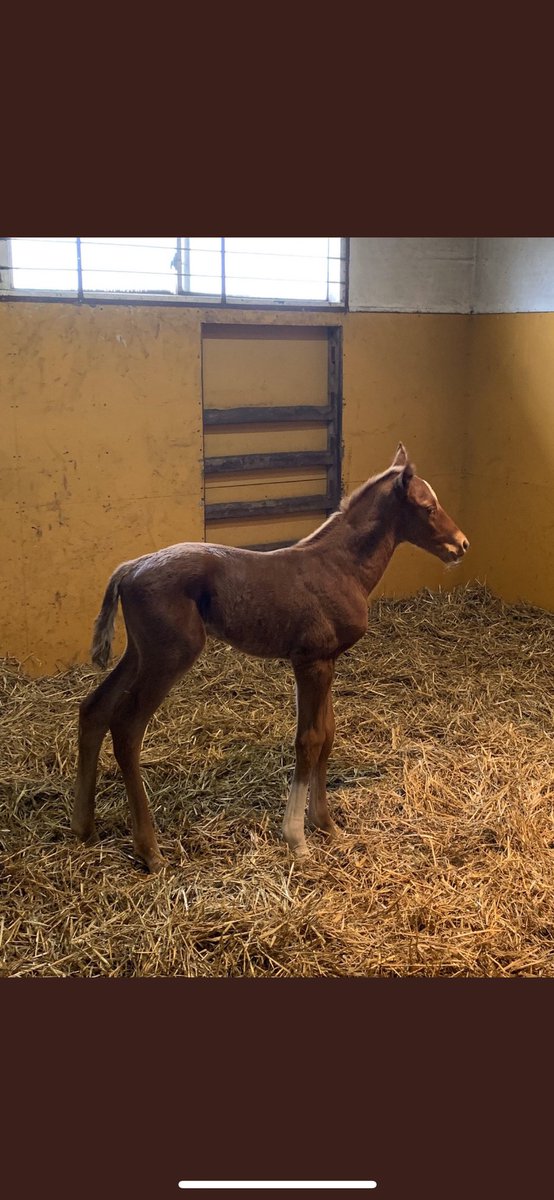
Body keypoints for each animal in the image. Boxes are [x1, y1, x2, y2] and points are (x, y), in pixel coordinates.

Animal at [72, 444, 469, 872]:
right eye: (428, 507)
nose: (461, 544)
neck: (339, 567)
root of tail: (130, 568)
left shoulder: (325, 662)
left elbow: (327, 734)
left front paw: (326, 825)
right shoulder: (311, 661)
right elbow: (309, 740)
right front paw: (297, 838)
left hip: (139, 654)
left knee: (94, 709)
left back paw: (84, 827)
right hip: (168, 657)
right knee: (127, 728)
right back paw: (149, 850)